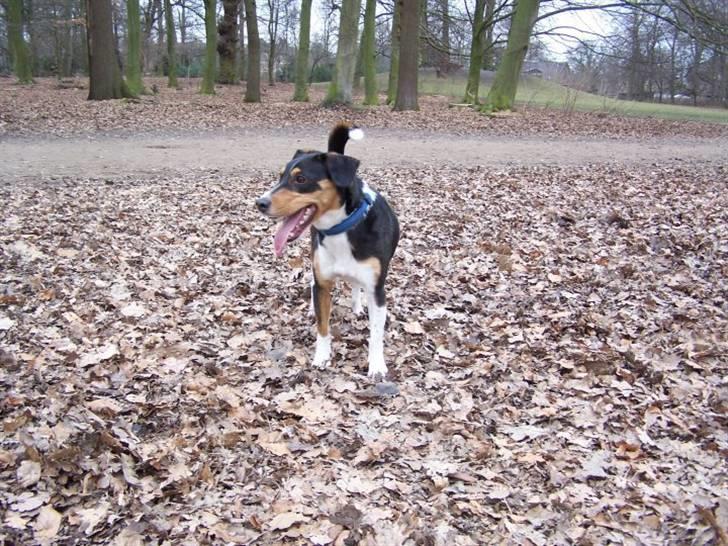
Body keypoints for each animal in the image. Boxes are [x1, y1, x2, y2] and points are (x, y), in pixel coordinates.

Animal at [256, 123, 400, 376]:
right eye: (280, 177)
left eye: (301, 179)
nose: (260, 203)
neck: (340, 229)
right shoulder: (323, 283)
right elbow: (322, 326)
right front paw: (322, 357)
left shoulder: (377, 290)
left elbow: (376, 334)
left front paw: (376, 365)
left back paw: (357, 306)